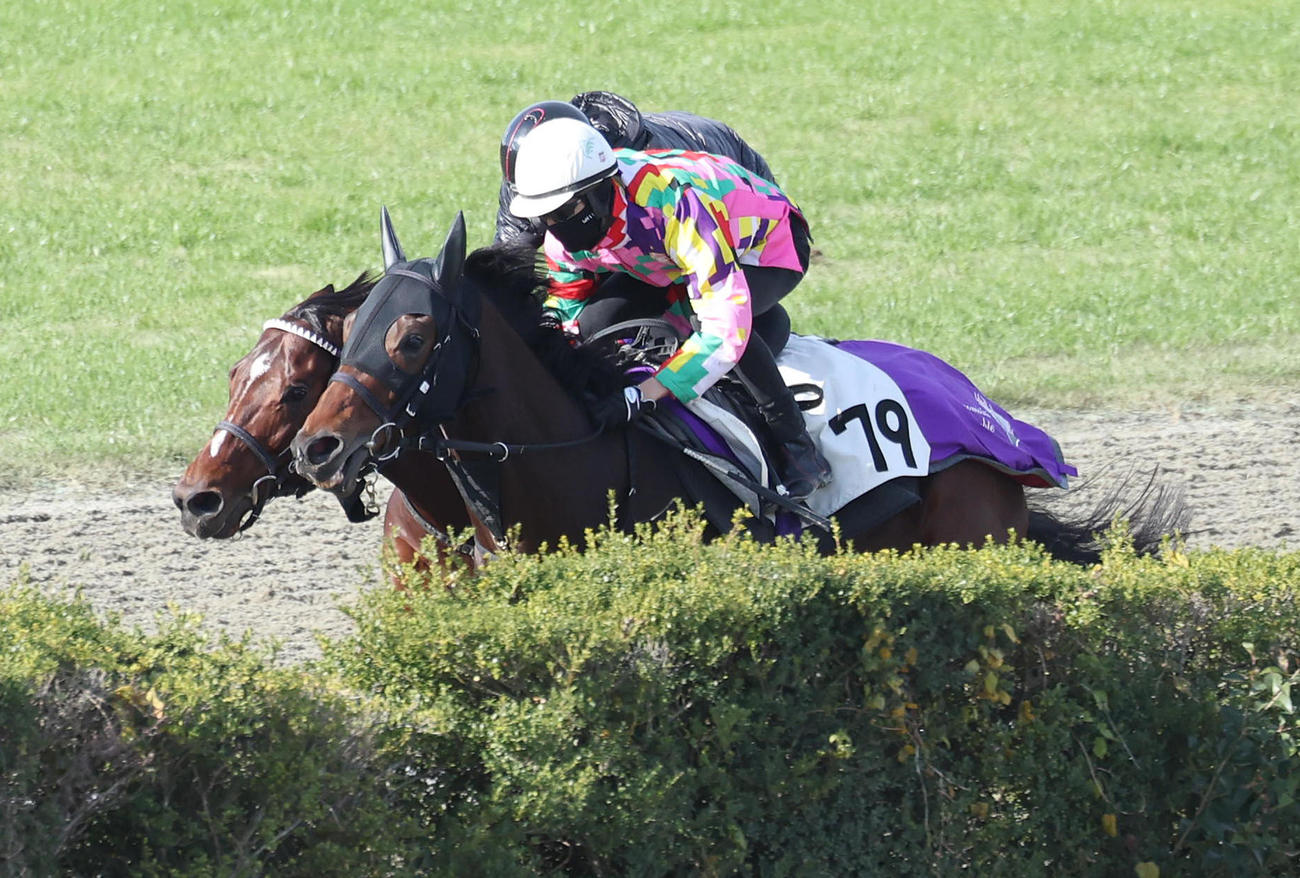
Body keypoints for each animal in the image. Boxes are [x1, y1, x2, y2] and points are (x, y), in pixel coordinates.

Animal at [290, 212, 1186, 563]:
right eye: (350, 334)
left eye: (411, 337)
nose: (316, 447)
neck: (582, 458)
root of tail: (998, 425)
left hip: (972, 541)